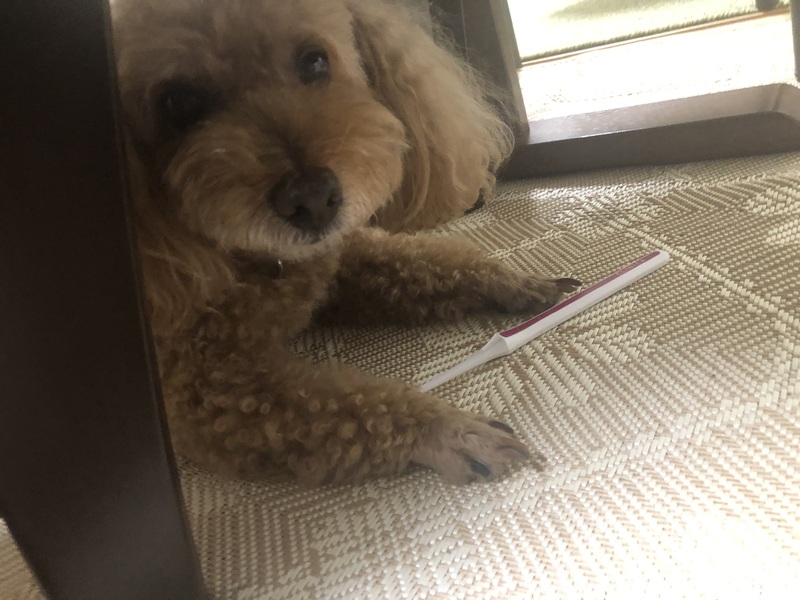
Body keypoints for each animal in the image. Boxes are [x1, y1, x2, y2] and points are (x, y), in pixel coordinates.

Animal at [110, 0, 579, 486]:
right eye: (178, 102)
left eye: (315, 61)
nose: (313, 198)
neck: (262, 265)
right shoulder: (209, 389)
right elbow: (346, 408)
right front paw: (448, 429)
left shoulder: (338, 258)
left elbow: (422, 264)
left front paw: (510, 282)